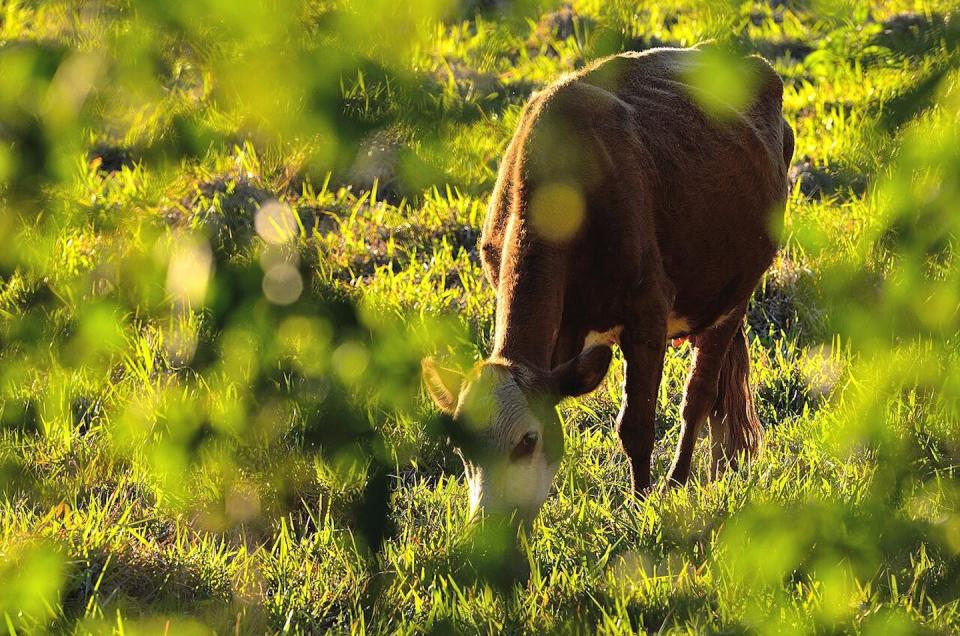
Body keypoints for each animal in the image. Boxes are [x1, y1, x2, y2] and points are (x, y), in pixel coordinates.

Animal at [424, 44, 792, 520]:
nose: (487, 526)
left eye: (529, 440)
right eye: (462, 448)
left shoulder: (648, 311)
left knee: (699, 394)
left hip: (736, 292)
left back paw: (678, 479)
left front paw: (640, 507)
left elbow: (636, 425)